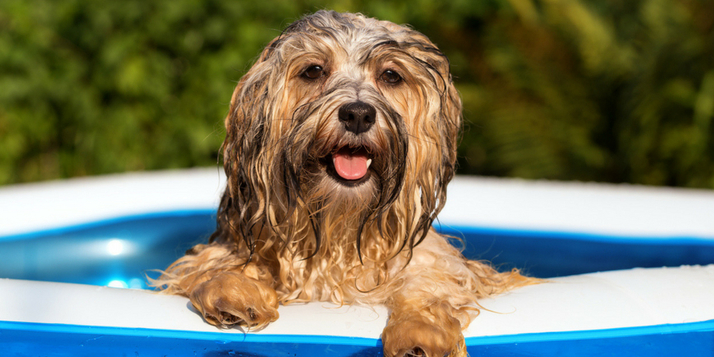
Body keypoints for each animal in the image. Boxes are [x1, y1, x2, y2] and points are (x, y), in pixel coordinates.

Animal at [152, 11, 528, 356]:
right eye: (313, 70)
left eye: (391, 75)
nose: (358, 114)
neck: (338, 227)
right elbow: (212, 265)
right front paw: (232, 289)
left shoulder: (436, 263)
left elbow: (431, 283)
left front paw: (421, 333)